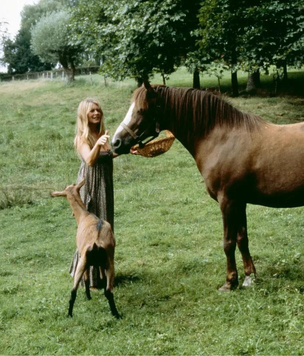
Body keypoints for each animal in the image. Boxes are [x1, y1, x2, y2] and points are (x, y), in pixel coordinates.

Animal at [50, 179, 120, 318]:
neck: (85, 215)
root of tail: (95, 244)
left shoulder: (82, 256)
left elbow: (87, 278)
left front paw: (88, 296)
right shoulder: (97, 263)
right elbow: (100, 277)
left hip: (83, 263)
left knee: (74, 291)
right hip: (108, 263)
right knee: (105, 291)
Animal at [111, 82, 304, 290]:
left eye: (141, 110)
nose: (115, 142)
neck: (221, 139)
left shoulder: (227, 201)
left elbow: (228, 242)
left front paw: (230, 282)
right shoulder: (239, 202)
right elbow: (242, 239)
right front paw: (249, 277)